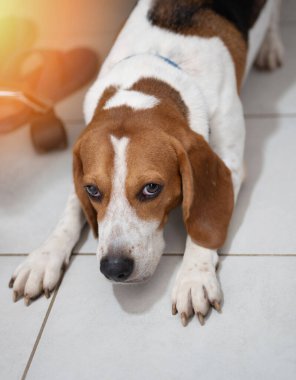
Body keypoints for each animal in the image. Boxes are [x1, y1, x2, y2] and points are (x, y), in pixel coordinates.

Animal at [10, 0, 284, 326]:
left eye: (152, 188)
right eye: (92, 190)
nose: (114, 268)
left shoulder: (229, 162)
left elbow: (201, 223)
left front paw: (194, 277)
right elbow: (69, 214)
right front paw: (43, 258)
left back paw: (270, 46)